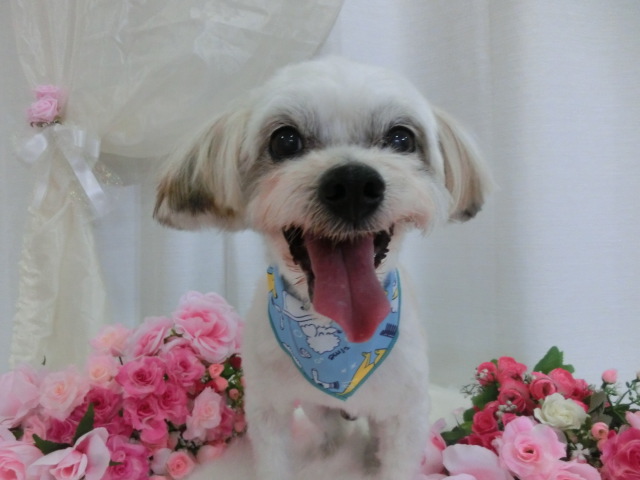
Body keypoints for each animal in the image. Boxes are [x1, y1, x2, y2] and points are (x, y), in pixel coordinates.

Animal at [154, 56, 492, 480]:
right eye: (285, 140)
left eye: (401, 138)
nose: (353, 184)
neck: (335, 330)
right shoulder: (268, 409)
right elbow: (275, 459)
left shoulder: (406, 415)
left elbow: (397, 458)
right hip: (317, 408)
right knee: (331, 428)